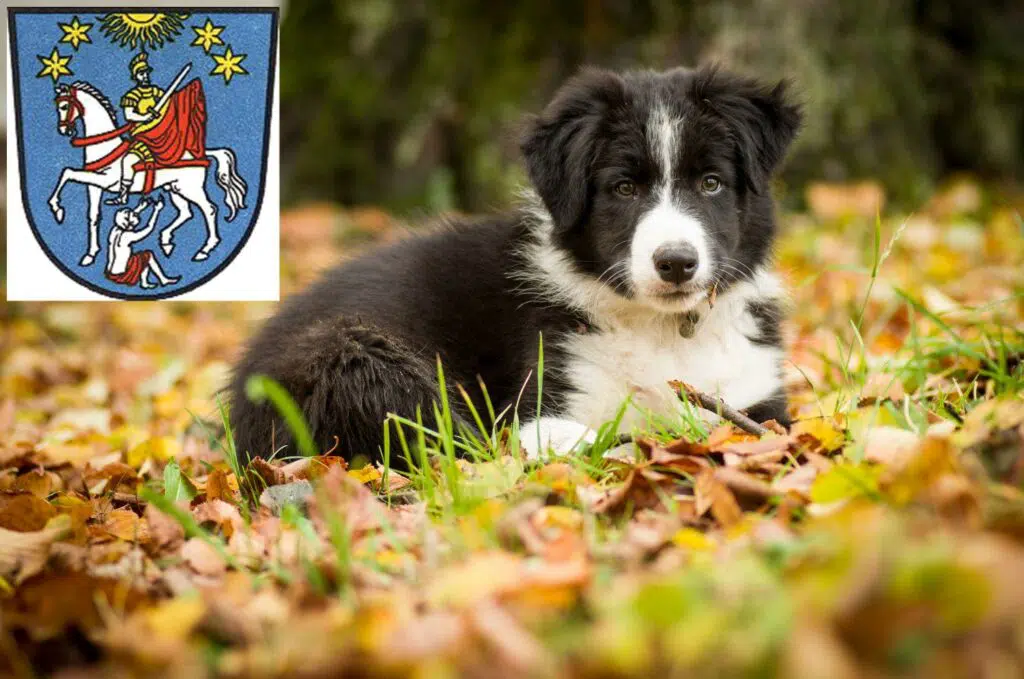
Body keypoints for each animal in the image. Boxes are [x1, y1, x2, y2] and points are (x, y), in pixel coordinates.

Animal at [48, 82, 247, 266]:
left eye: (64, 106)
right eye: (57, 106)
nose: (64, 130)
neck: (105, 147)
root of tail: (200, 154)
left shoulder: (105, 180)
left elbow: (67, 172)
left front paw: (57, 209)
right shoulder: (93, 185)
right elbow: (93, 216)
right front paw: (90, 254)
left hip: (191, 188)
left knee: (209, 209)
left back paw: (205, 249)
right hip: (175, 188)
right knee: (186, 213)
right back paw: (166, 240)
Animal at [230, 65, 798, 462]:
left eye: (711, 183)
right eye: (624, 188)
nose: (676, 263)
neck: (663, 329)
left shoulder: (759, 399)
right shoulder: (547, 402)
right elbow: (592, 436)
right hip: (350, 357)